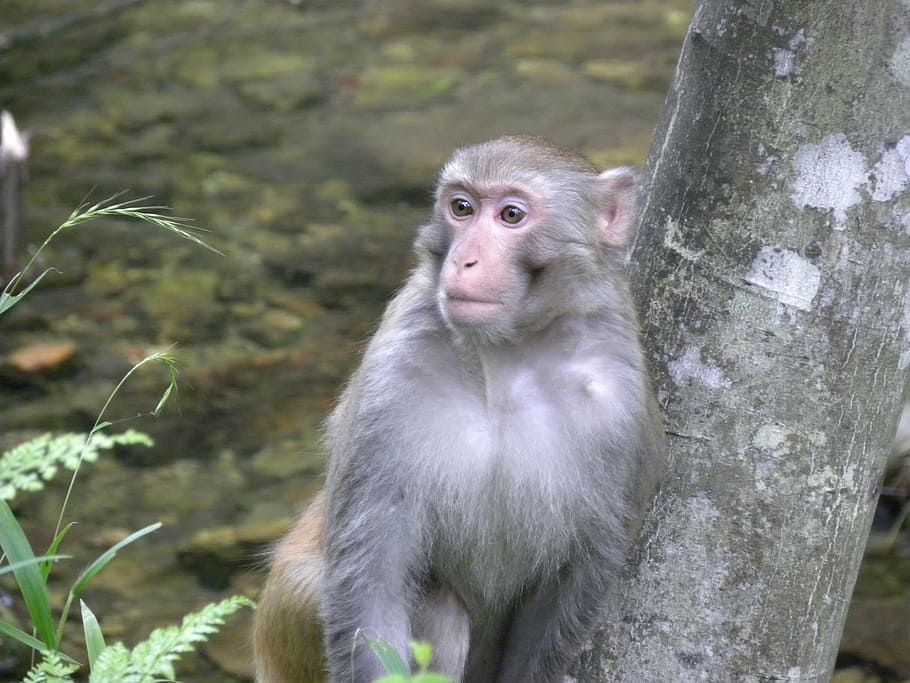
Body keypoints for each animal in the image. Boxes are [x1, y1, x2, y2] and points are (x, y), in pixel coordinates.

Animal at [253, 136, 665, 683]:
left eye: (511, 215)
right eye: (462, 208)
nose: (464, 260)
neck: (505, 357)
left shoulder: (621, 405)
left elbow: (573, 583)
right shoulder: (392, 375)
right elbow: (372, 580)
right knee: (437, 609)